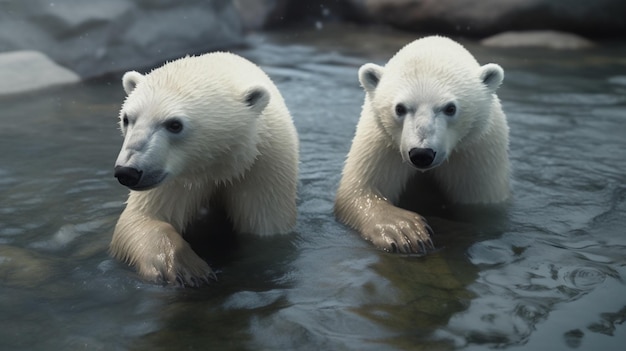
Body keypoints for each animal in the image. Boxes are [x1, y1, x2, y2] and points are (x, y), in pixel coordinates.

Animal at [110, 53, 300, 288]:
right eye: (127, 118)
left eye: (174, 124)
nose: (127, 171)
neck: (218, 165)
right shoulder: (177, 180)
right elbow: (141, 220)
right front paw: (185, 267)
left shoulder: (261, 168)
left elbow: (263, 226)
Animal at [334, 35, 510, 254]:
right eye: (399, 108)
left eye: (450, 108)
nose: (421, 154)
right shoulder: (382, 143)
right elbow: (359, 192)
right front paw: (404, 231)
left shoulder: (474, 151)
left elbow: (479, 203)